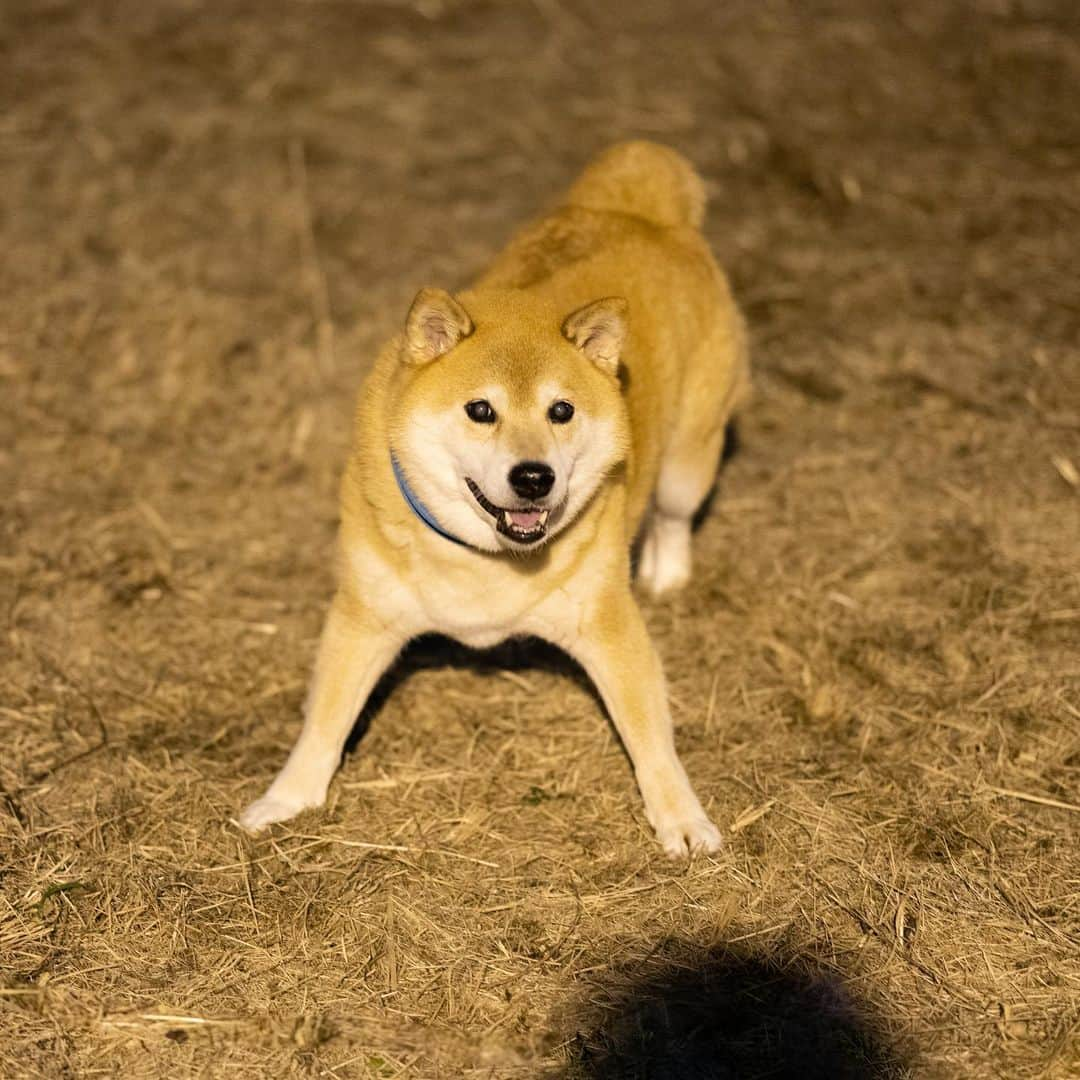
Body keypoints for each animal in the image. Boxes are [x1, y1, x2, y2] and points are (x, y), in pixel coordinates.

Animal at [243, 143, 751, 855]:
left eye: (562, 410)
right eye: (480, 410)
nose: (534, 477)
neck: (483, 561)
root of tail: (641, 209)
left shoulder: (609, 625)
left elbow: (652, 737)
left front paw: (681, 817)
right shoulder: (364, 616)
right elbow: (325, 719)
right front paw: (287, 799)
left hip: (688, 460)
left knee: (676, 515)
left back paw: (667, 572)